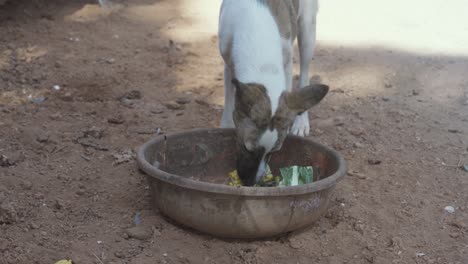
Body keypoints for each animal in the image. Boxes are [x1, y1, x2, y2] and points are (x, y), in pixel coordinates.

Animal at [218, 0, 330, 186]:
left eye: (273, 152)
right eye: (246, 148)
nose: (250, 183)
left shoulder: (287, 61)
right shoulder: (228, 61)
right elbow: (228, 102)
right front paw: (225, 127)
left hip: (307, 29)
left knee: (305, 72)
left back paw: (301, 122)